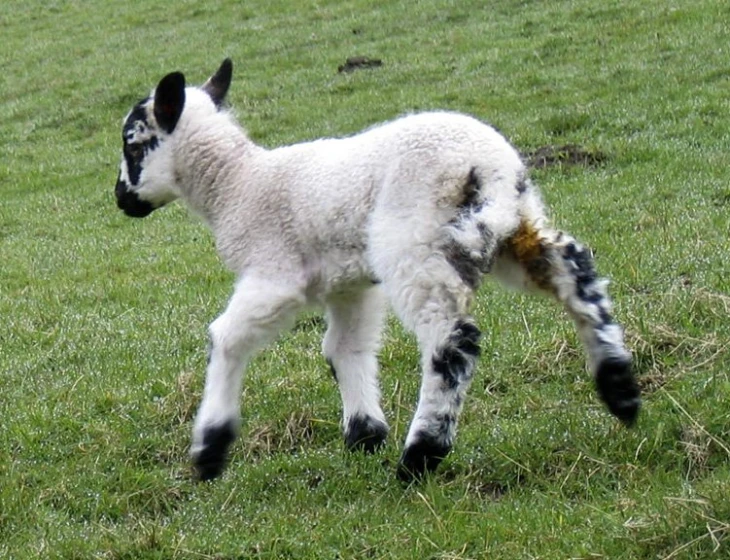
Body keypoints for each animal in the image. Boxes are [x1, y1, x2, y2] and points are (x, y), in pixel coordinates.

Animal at [112, 59, 636, 484]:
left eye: (133, 144)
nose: (120, 200)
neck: (236, 184)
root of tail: (491, 170)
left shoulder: (276, 274)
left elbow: (225, 338)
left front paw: (210, 450)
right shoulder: (348, 283)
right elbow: (343, 347)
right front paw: (364, 435)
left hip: (415, 245)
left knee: (453, 341)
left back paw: (420, 456)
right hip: (511, 233)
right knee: (575, 270)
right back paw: (620, 389)